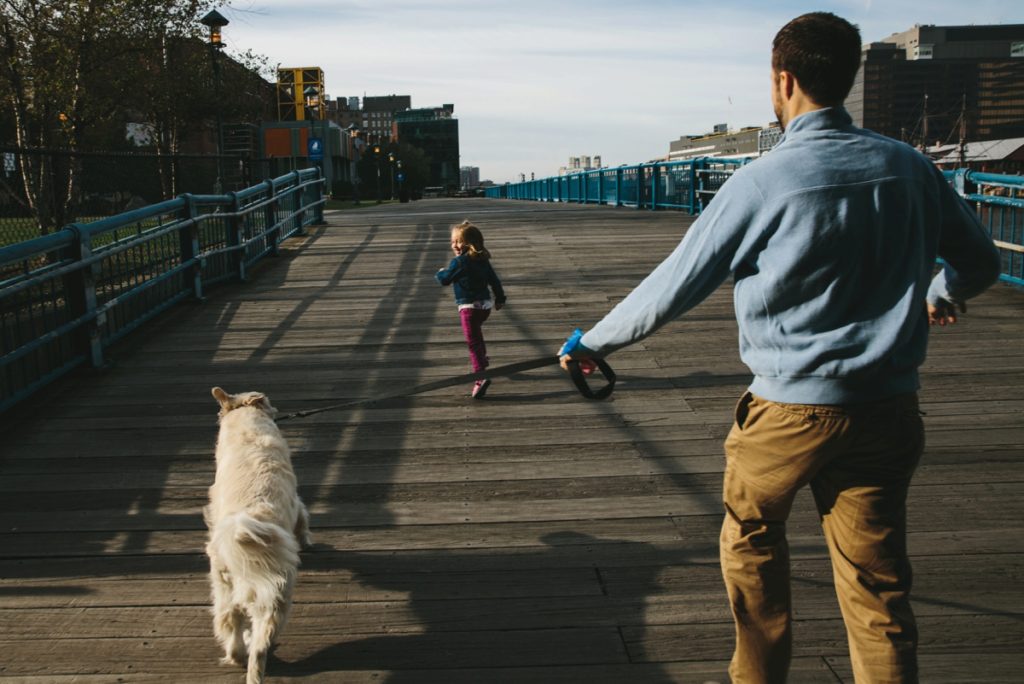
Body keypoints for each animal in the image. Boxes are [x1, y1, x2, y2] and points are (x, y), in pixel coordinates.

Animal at [202, 387, 307, 679]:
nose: (276, 408)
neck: (245, 418)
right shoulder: (297, 503)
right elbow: (303, 521)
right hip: (278, 597)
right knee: (262, 645)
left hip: (224, 589)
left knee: (231, 625)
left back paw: (239, 653)